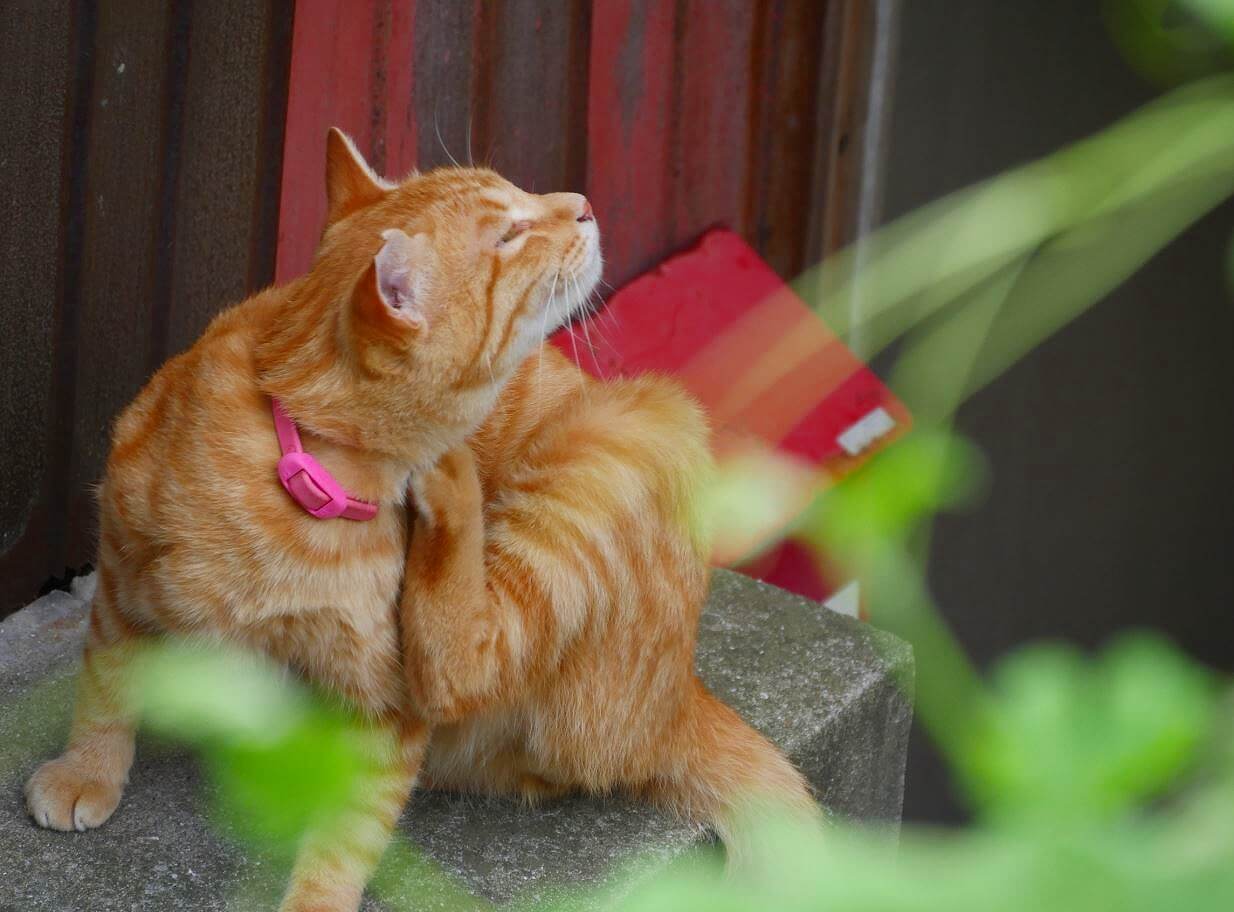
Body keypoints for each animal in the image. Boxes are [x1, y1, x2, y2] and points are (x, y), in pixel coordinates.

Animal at [24, 128, 814, 912]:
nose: (584, 203)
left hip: (623, 439)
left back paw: (454, 482)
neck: (301, 470)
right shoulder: (121, 569)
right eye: (509, 233)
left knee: (468, 664)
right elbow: (107, 685)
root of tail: (683, 692)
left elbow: (349, 830)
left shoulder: (389, 705)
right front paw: (87, 770)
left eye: (524, 198)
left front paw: (315, 899)